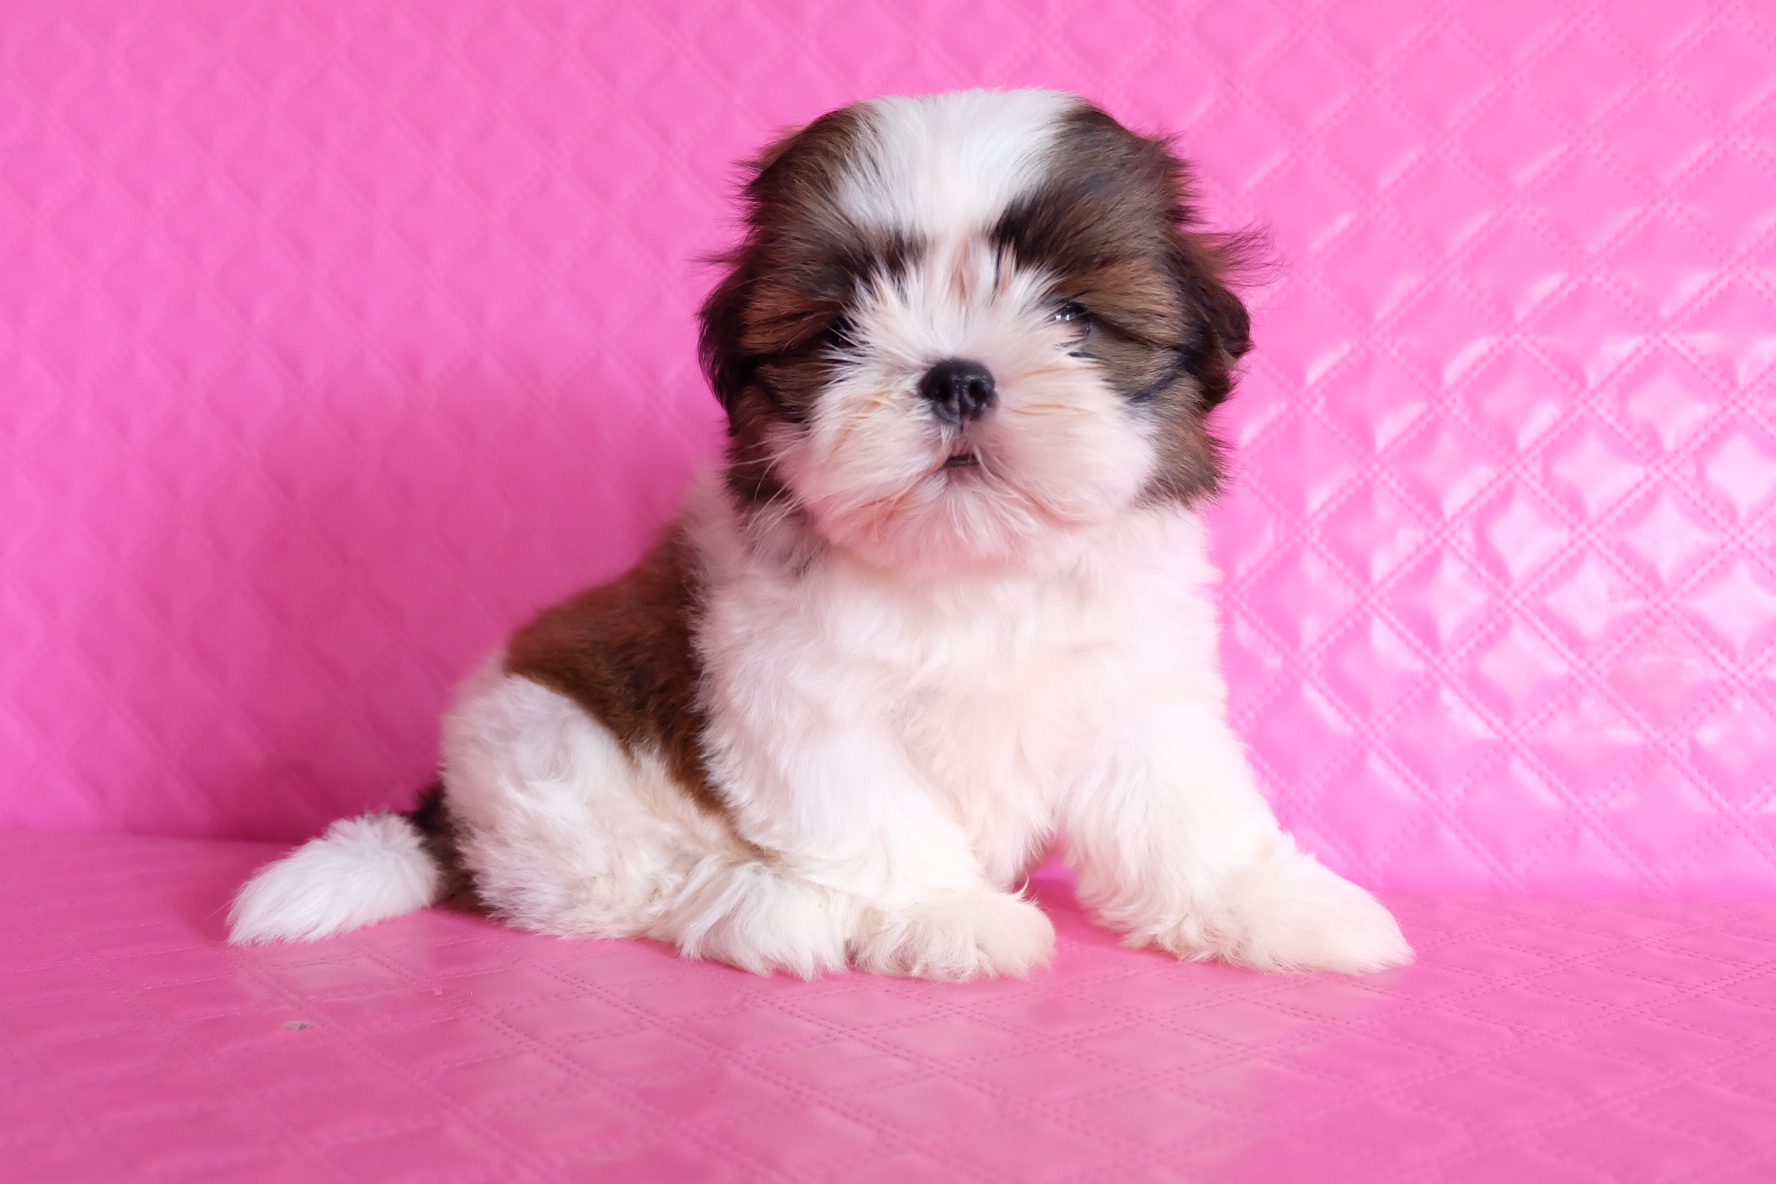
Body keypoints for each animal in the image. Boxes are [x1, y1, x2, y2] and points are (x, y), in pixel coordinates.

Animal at [229, 88, 1412, 981]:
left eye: (1073, 316)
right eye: (843, 326)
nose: (957, 373)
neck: (975, 572)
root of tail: (445, 817)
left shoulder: (1132, 685)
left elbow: (1181, 808)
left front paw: (1268, 905)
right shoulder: (799, 697)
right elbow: (874, 810)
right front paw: (946, 916)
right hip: (543, 745)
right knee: (620, 887)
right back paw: (763, 907)